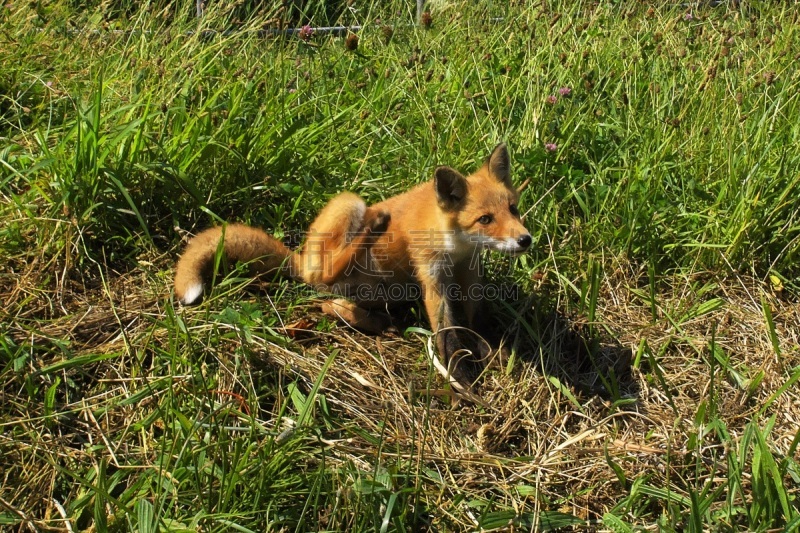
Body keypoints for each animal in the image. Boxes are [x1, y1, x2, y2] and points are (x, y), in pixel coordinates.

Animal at [178, 143, 536, 384]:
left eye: (513, 209)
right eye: (485, 219)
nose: (525, 240)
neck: (455, 246)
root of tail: (300, 259)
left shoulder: (468, 269)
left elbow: (477, 318)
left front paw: (492, 350)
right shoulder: (431, 274)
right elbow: (446, 332)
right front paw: (460, 380)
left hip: (385, 291)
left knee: (331, 304)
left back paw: (374, 320)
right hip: (349, 205)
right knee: (327, 272)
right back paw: (372, 229)